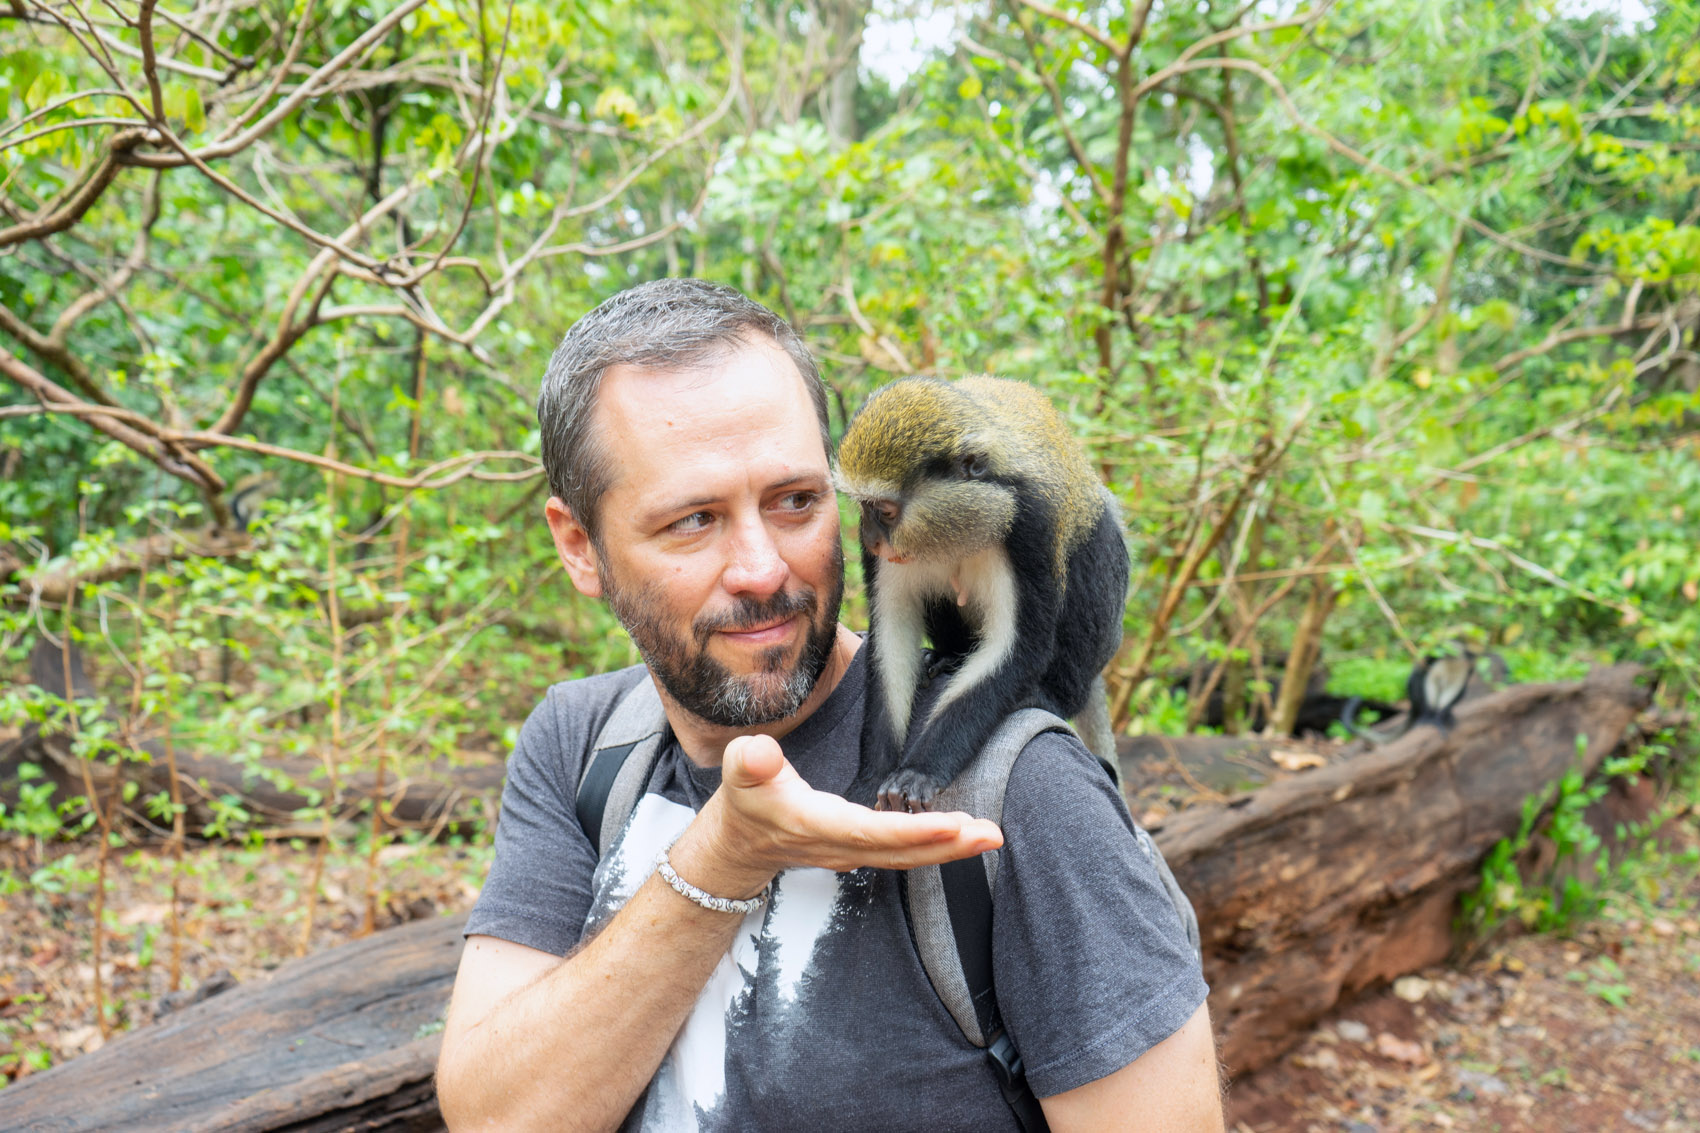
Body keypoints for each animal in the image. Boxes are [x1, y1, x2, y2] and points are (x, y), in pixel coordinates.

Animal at [833, 374, 1128, 806]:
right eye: (864, 508)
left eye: (885, 511)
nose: (870, 540)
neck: (956, 530)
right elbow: (892, 637)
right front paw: (871, 776)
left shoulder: (1030, 525)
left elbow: (1017, 647)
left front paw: (919, 771)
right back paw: (946, 657)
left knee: (1092, 563)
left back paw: (1051, 695)